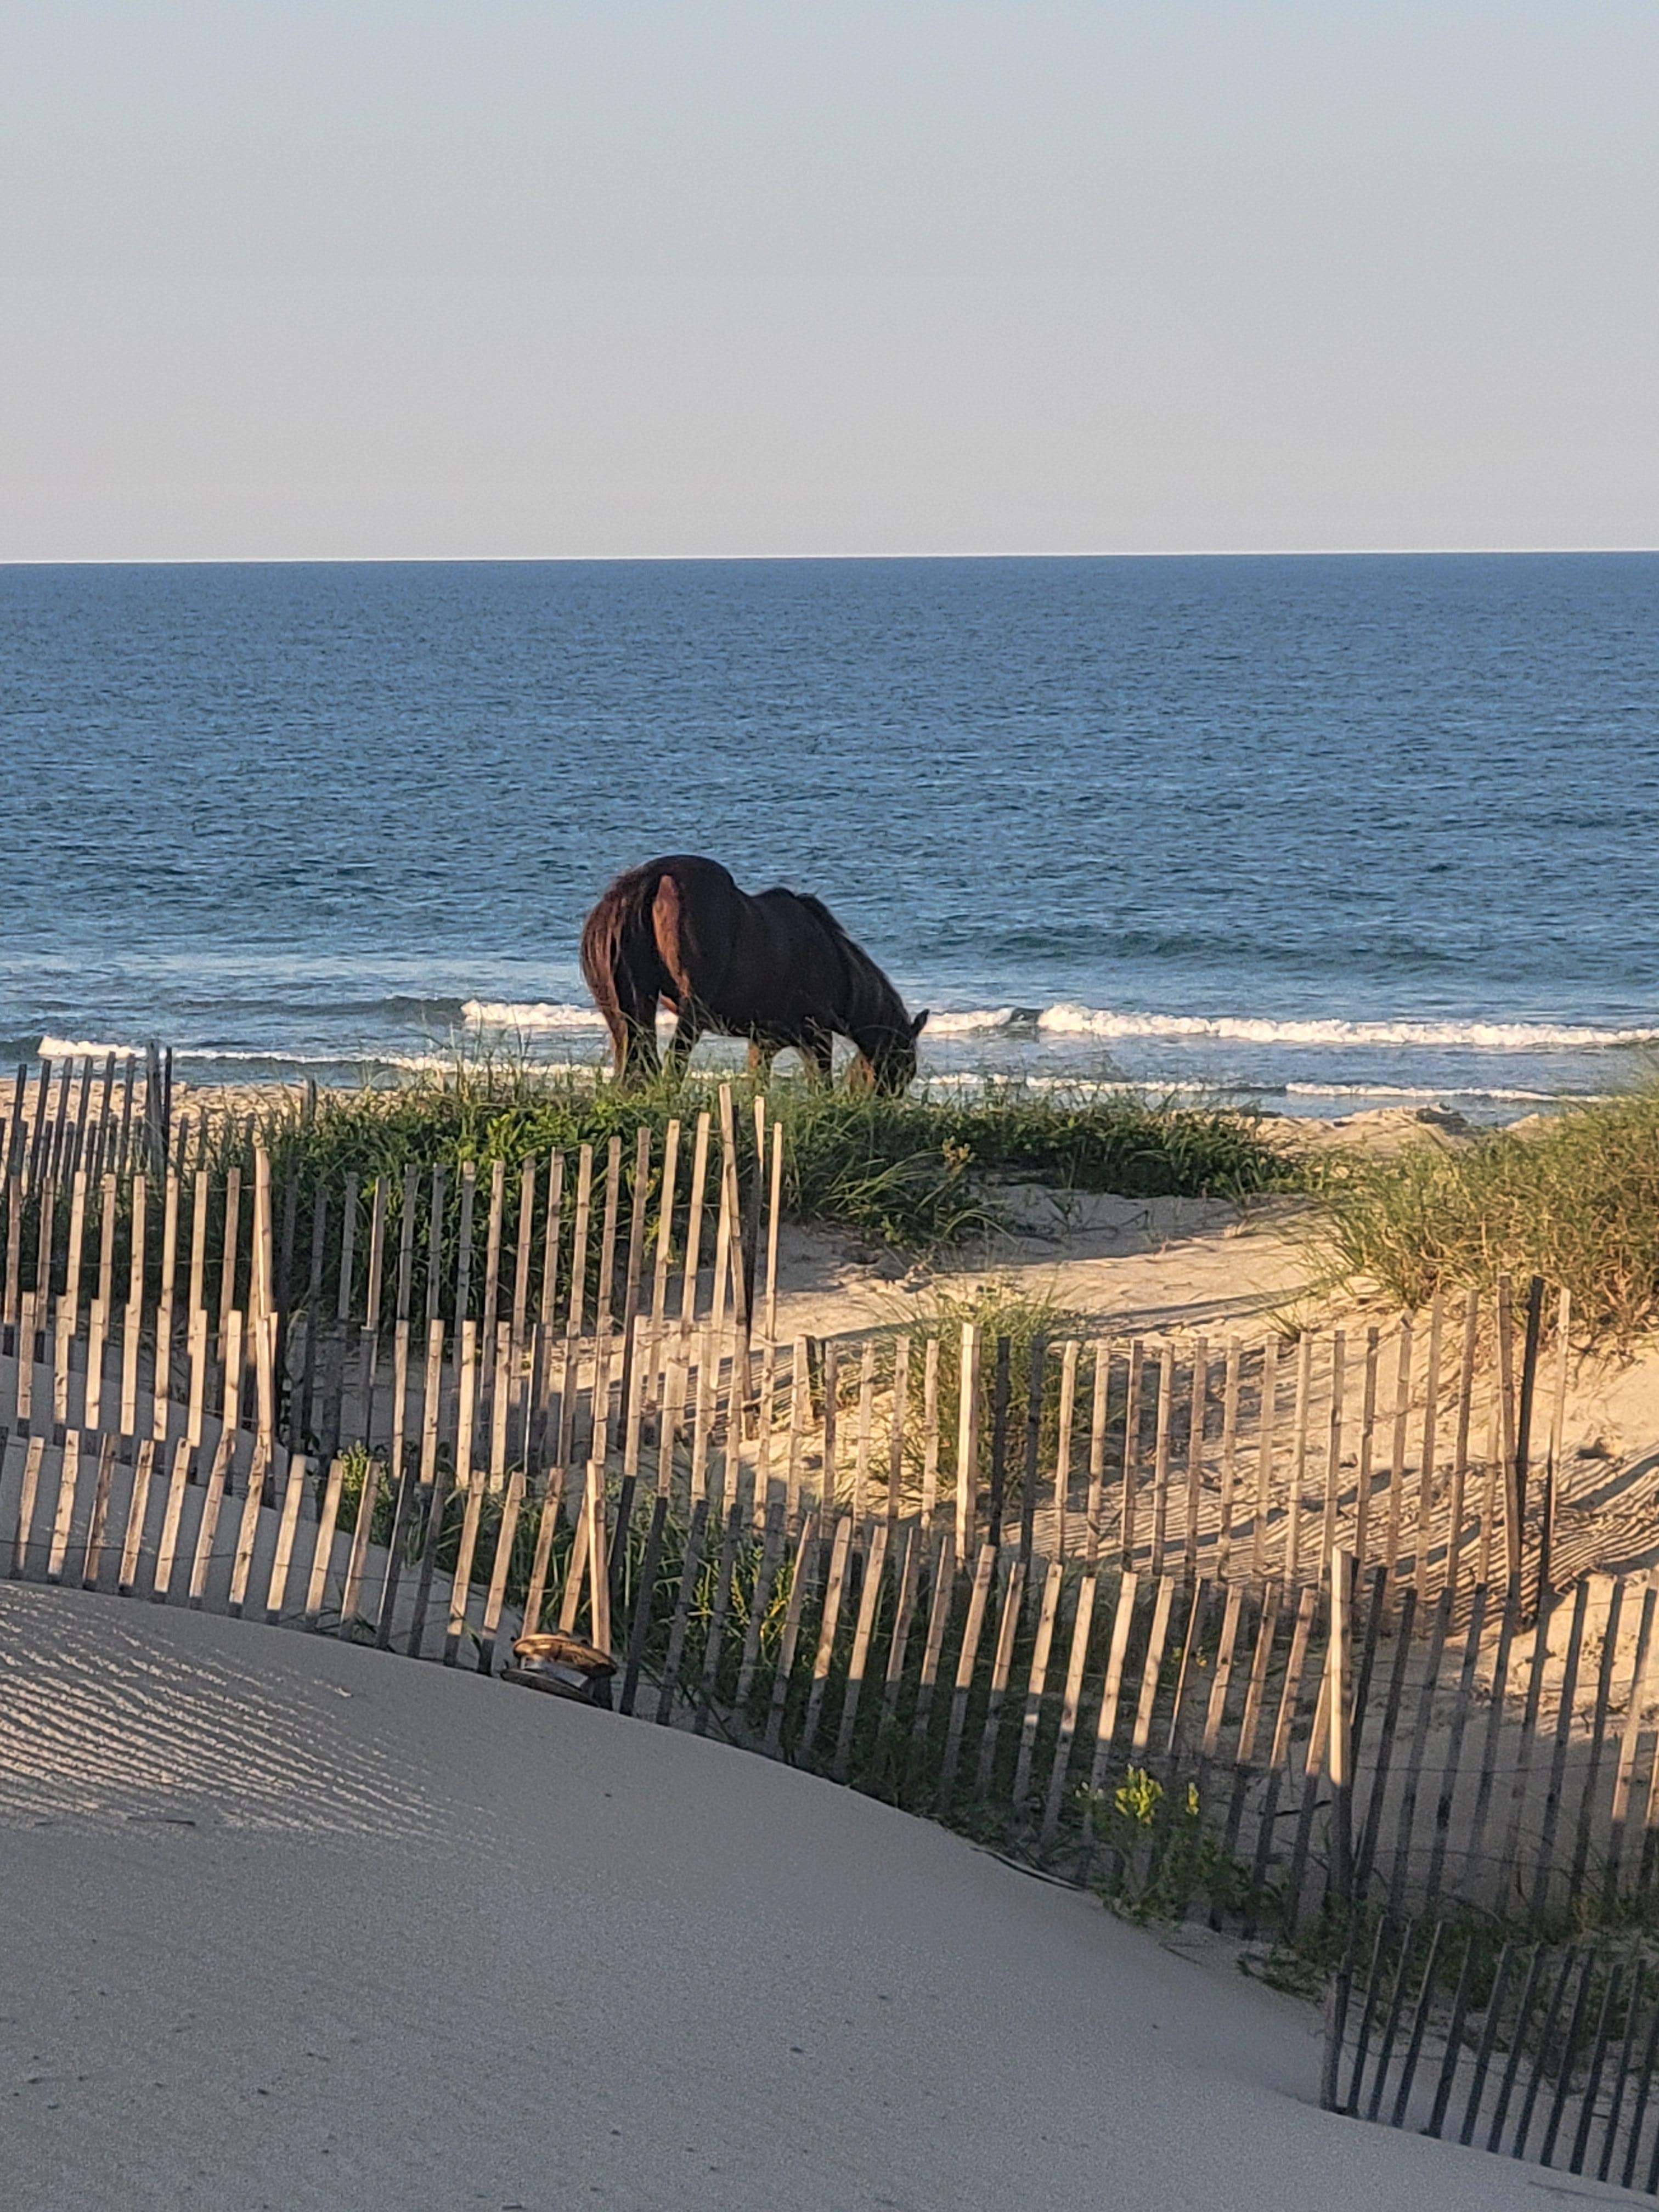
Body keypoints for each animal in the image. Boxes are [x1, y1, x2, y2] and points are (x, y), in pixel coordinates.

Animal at [579, 855, 928, 1091]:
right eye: (904, 1062)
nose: (879, 1102)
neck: (836, 964)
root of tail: (653, 877)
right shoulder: (816, 1038)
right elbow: (820, 1085)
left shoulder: (763, 1042)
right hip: (693, 1014)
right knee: (673, 1065)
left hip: (628, 1011)